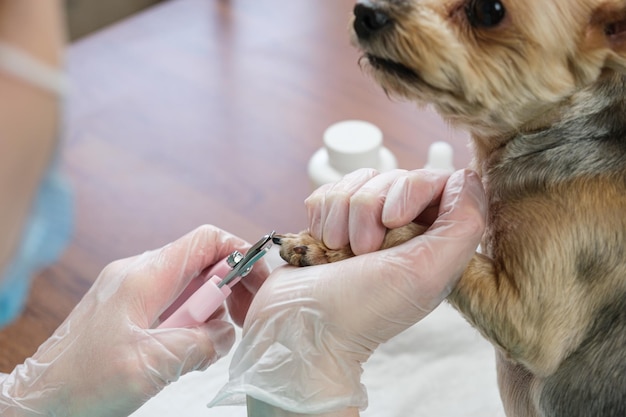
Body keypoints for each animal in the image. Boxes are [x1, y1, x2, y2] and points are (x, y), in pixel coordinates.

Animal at [276, 1, 624, 414]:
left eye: (489, 11)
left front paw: (333, 246)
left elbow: (411, 229)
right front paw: (321, 247)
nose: (366, 11)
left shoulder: (533, 319)